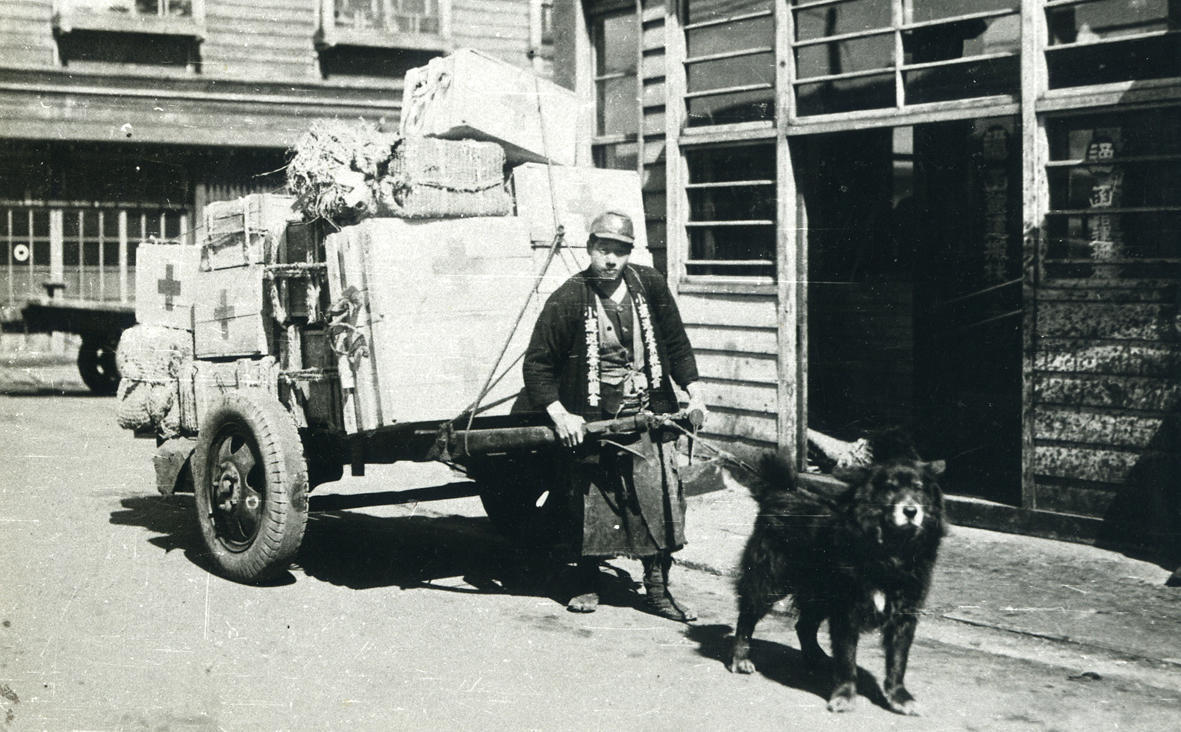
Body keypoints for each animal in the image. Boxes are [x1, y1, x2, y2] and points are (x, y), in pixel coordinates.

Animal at [727, 434, 940, 713]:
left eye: (918, 488)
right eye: (890, 488)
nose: (911, 511)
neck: (889, 550)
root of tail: (779, 492)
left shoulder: (904, 613)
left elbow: (897, 659)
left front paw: (899, 697)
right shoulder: (847, 610)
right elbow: (847, 659)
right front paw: (844, 696)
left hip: (817, 592)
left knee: (804, 625)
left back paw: (817, 658)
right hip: (769, 579)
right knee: (747, 617)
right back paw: (740, 657)